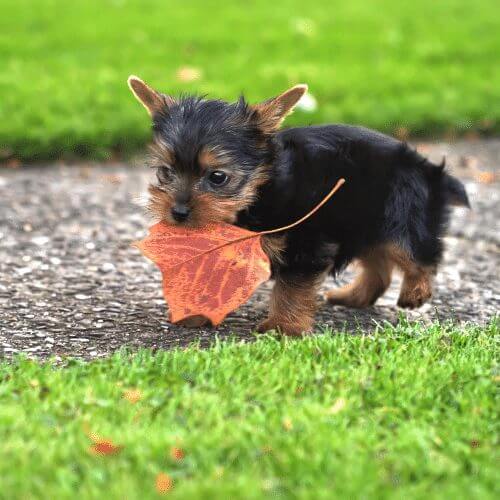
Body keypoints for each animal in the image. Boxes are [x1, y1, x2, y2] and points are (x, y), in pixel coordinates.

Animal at [128, 75, 468, 336]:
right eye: (165, 172)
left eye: (218, 177)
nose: (178, 213)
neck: (259, 193)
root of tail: (428, 168)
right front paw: (195, 310)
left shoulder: (304, 241)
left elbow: (292, 286)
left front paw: (282, 328)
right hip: (360, 219)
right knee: (379, 264)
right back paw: (354, 296)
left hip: (401, 213)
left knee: (416, 251)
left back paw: (415, 291)